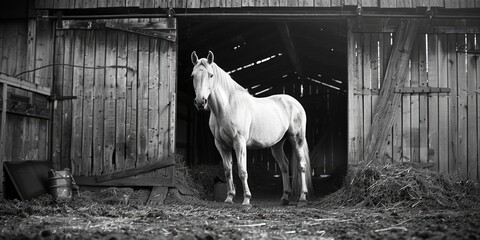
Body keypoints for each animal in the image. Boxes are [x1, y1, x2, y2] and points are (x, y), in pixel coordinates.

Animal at [191, 50, 316, 206]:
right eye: (193, 75)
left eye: (211, 75)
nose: (200, 102)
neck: (226, 108)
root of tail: (295, 103)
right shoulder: (221, 145)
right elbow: (227, 171)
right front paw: (229, 198)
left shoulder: (239, 143)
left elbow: (242, 171)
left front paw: (246, 200)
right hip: (277, 144)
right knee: (284, 166)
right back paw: (285, 198)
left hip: (296, 139)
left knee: (301, 165)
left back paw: (302, 198)